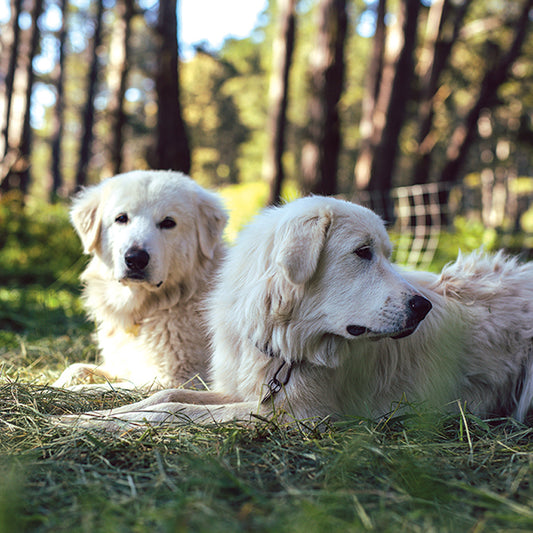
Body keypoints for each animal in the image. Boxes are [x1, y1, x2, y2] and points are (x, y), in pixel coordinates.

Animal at [54, 170, 227, 390]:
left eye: (168, 222)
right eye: (121, 218)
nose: (135, 258)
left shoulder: (173, 380)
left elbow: (100, 388)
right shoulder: (121, 367)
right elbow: (75, 368)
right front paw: (59, 382)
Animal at [63, 196, 532, 428]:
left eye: (384, 254)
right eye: (363, 253)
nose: (423, 306)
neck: (286, 343)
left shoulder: (297, 416)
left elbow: (176, 411)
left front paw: (90, 425)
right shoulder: (247, 391)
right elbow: (165, 397)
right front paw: (87, 417)